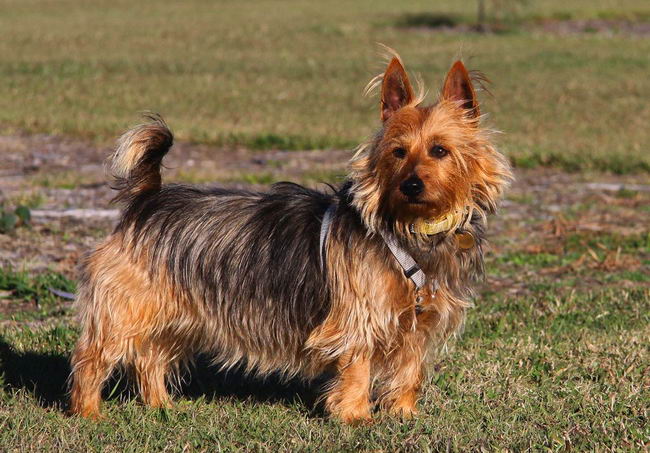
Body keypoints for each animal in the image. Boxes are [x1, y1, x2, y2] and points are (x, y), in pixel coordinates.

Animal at [68, 51, 508, 422]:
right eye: (398, 152)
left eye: (440, 150)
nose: (411, 185)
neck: (412, 228)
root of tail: (148, 201)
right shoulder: (359, 317)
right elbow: (359, 368)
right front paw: (356, 417)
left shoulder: (420, 321)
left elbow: (409, 369)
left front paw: (402, 413)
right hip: (127, 307)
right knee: (93, 356)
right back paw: (88, 412)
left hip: (174, 311)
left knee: (151, 357)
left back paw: (163, 405)